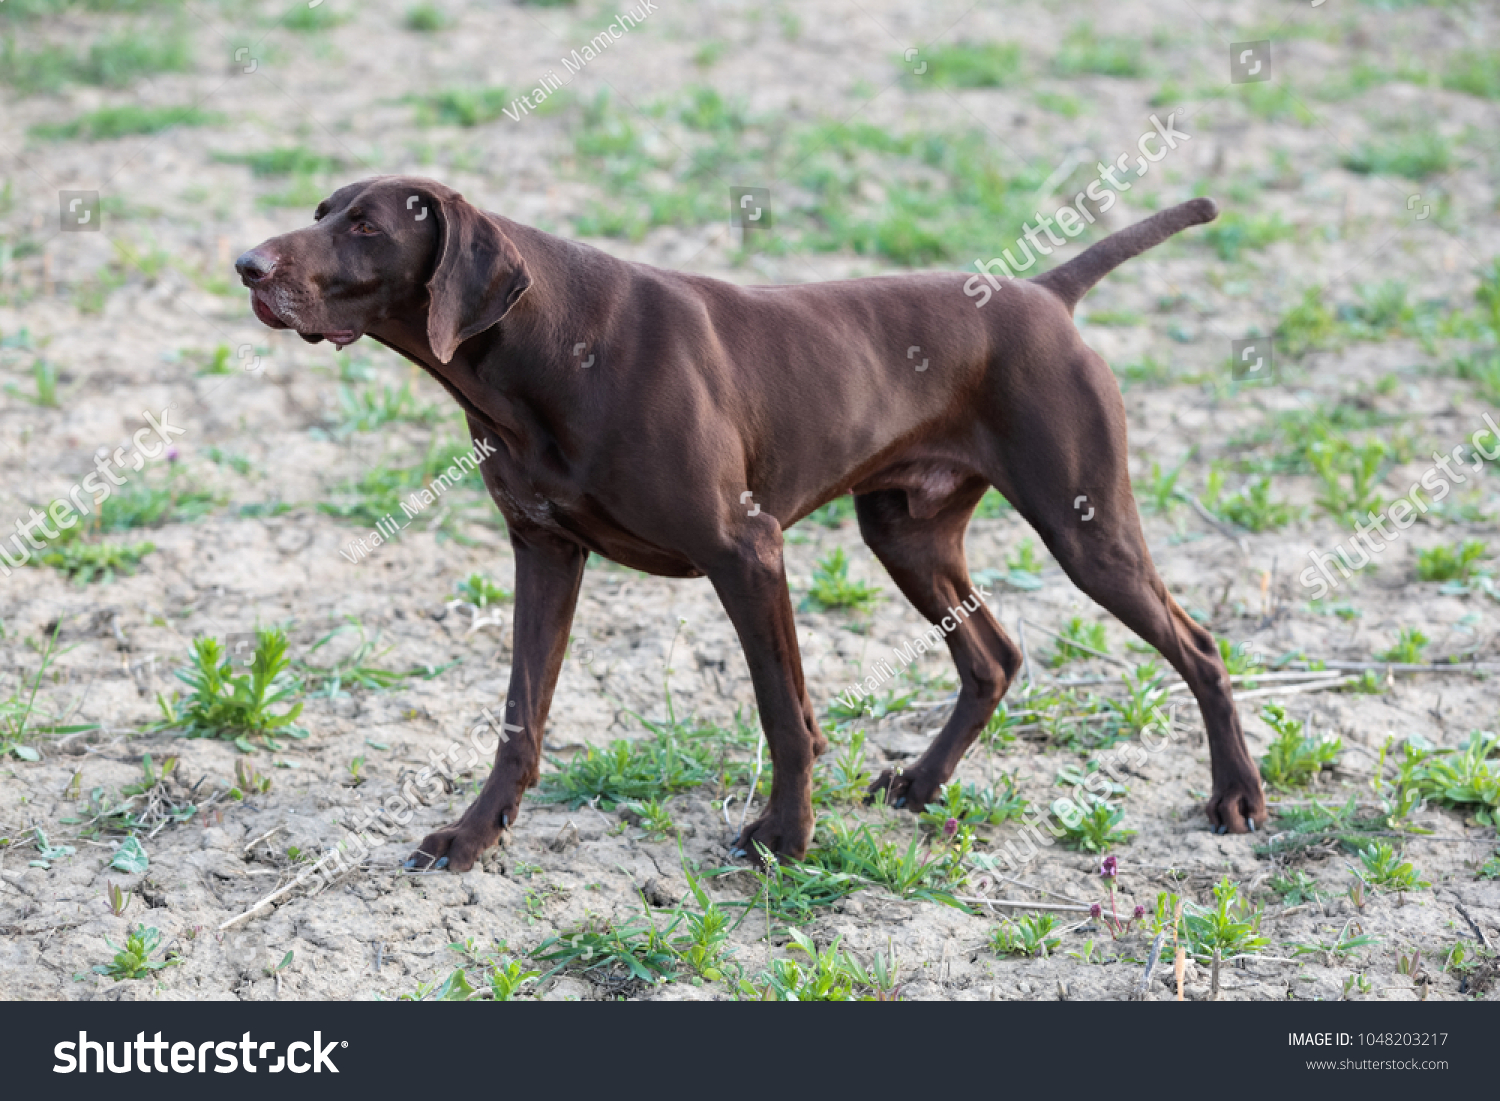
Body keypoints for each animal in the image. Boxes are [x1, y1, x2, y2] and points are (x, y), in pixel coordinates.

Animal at [234, 179, 1266, 870]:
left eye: (366, 226)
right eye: (322, 209)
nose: (246, 264)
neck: (551, 348)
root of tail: (1047, 293)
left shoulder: (747, 553)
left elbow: (783, 712)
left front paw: (785, 835)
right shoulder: (545, 551)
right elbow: (521, 715)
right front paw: (476, 831)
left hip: (1085, 527)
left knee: (1199, 645)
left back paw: (1238, 795)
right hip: (907, 534)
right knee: (994, 658)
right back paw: (923, 782)